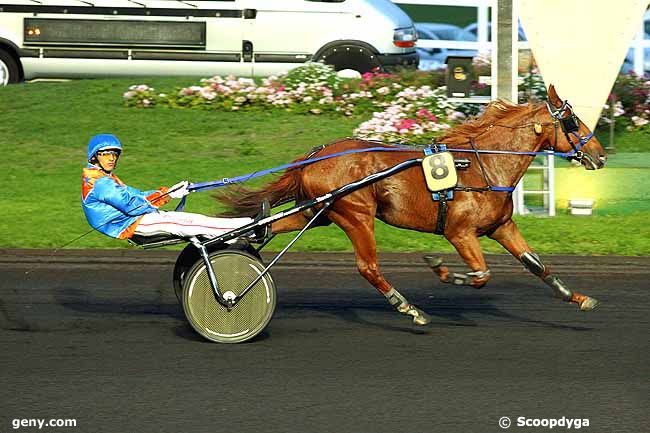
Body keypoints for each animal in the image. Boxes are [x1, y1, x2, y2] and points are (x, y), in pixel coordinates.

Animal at [215, 86, 604, 324]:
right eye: (571, 121)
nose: (600, 154)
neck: (483, 164)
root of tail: (316, 155)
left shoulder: (501, 227)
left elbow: (536, 264)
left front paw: (577, 296)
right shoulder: (459, 232)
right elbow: (480, 275)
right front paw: (442, 270)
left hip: (317, 210)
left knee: (267, 226)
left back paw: (241, 240)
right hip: (356, 213)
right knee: (368, 267)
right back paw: (408, 307)